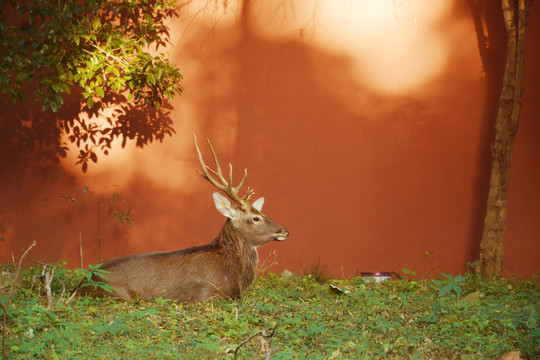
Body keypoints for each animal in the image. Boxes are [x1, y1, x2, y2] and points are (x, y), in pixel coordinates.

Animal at [77, 134, 288, 302]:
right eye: (256, 218)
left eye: (263, 213)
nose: (285, 230)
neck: (233, 272)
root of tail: (82, 284)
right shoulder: (207, 294)